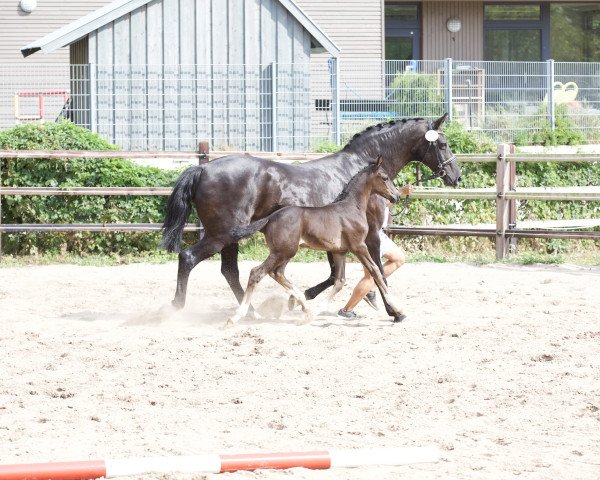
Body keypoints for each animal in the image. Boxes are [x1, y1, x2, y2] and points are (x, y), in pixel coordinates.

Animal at [230, 158, 404, 326]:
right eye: (385, 177)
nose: (396, 196)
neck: (352, 208)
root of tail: (270, 218)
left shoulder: (339, 252)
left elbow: (340, 282)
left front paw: (313, 313)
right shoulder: (359, 246)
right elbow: (376, 271)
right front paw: (398, 309)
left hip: (285, 252)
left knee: (277, 273)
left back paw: (302, 305)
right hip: (283, 252)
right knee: (257, 273)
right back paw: (236, 317)